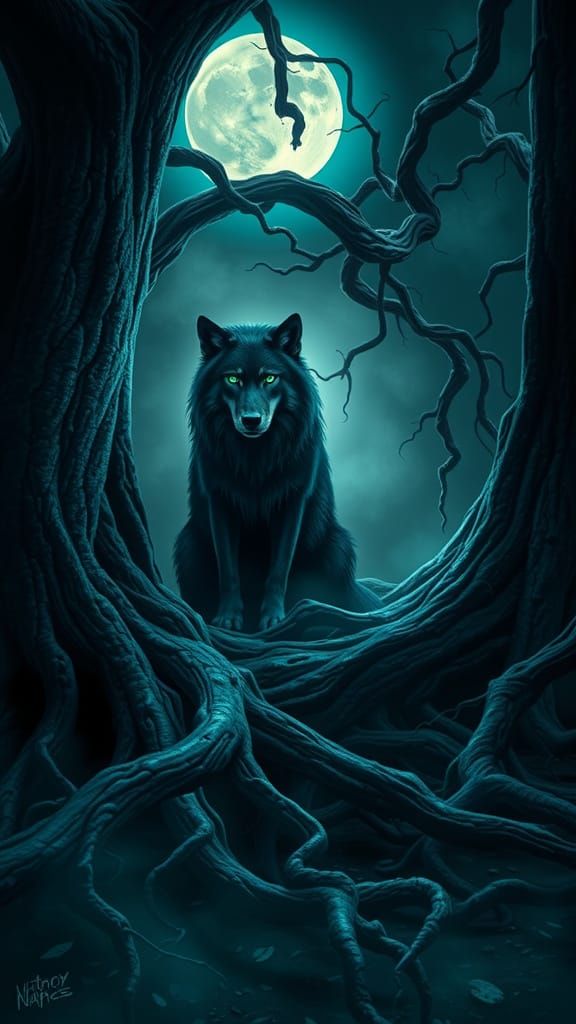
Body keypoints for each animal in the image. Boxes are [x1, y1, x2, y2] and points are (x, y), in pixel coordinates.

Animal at [174, 312, 381, 632]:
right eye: (233, 378)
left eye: (269, 378)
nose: (251, 420)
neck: (255, 459)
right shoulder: (219, 502)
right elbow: (228, 570)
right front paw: (228, 618)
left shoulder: (292, 502)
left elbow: (279, 568)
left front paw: (273, 618)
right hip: (187, 547)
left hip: (339, 546)